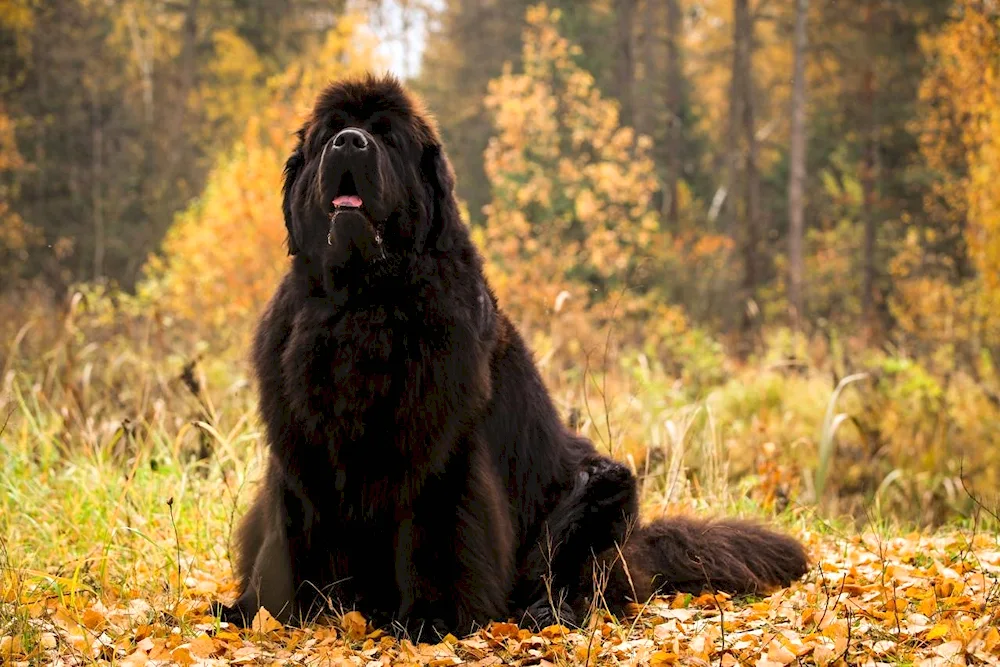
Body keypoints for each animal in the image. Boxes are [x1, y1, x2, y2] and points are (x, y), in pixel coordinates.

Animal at [213, 73, 812, 636]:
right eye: (330, 133)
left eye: (385, 136)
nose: (350, 142)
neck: (362, 305)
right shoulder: (301, 451)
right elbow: (288, 535)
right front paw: (265, 613)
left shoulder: (441, 456)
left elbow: (438, 538)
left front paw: (431, 621)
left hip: (601, 490)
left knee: (584, 583)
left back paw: (546, 610)